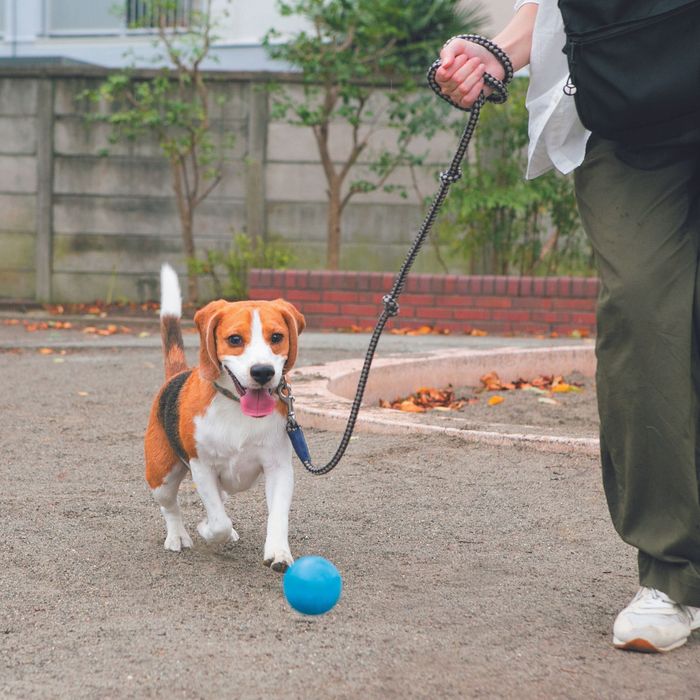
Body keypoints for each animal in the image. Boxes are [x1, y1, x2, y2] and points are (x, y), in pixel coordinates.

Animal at [144, 266, 304, 572]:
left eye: (277, 337)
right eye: (235, 340)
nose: (262, 371)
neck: (236, 408)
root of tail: (177, 375)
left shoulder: (278, 468)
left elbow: (278, 516)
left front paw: (278, 552)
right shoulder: (202, 467)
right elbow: (218, 522)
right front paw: (207, 530)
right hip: (161, 476)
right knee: (170, 506)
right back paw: (177, 536)